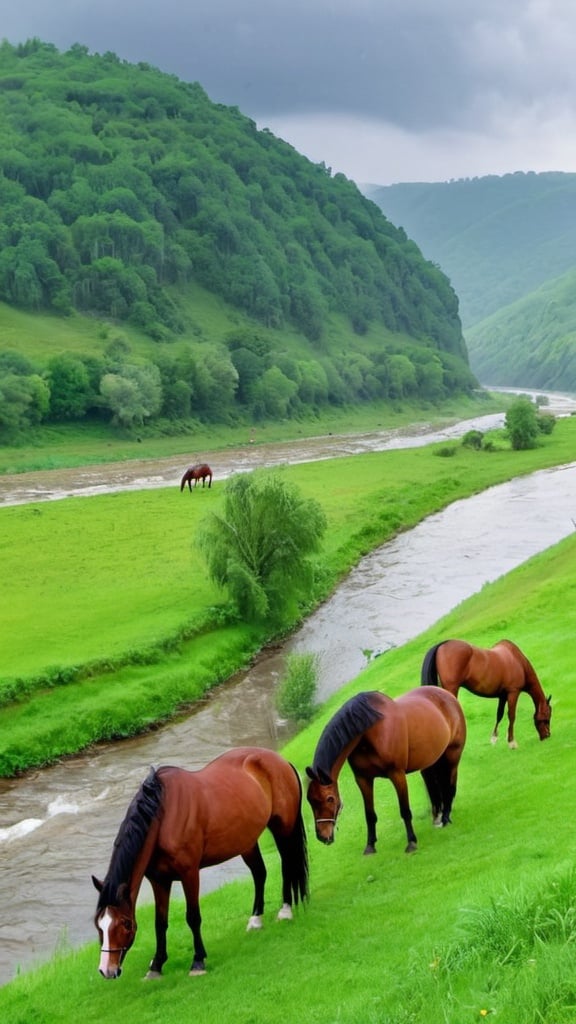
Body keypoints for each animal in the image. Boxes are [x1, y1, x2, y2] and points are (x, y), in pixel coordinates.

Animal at [93, 749, 309, 978]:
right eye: (99, 925)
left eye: (125, 923)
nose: (107, 970)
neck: (163, 817)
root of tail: (280, 760)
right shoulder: (159, 881)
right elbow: (160, 923)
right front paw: (156, 965)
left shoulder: (189, 874)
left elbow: (193, 917)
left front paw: (198, 961)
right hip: (247, 842)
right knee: (259, 874)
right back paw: (255, 920)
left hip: (282, 828)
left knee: (287, 865)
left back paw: (285, 911)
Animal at [307, 688, 463, 856]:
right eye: (310, 800)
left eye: (330, 799)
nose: (322, 836)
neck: (369, 732)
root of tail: (447, 695)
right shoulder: (363, 779)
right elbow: (369, 815)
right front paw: (370, 846)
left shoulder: (397, 774)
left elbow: (405, 810)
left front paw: (411, 842)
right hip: (430, 762)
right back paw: (438, 818)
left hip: (453, 755)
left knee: (450, 787)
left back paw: (446, 818)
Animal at [420, 634, 549, 749]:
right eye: (548, 717)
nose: (547, 735)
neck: (518, 661)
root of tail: (442, 645)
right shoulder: (513, 692)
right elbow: (511, 715)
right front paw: (511, 742)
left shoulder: (503, 695)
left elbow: (499, 714)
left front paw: (494, 738)